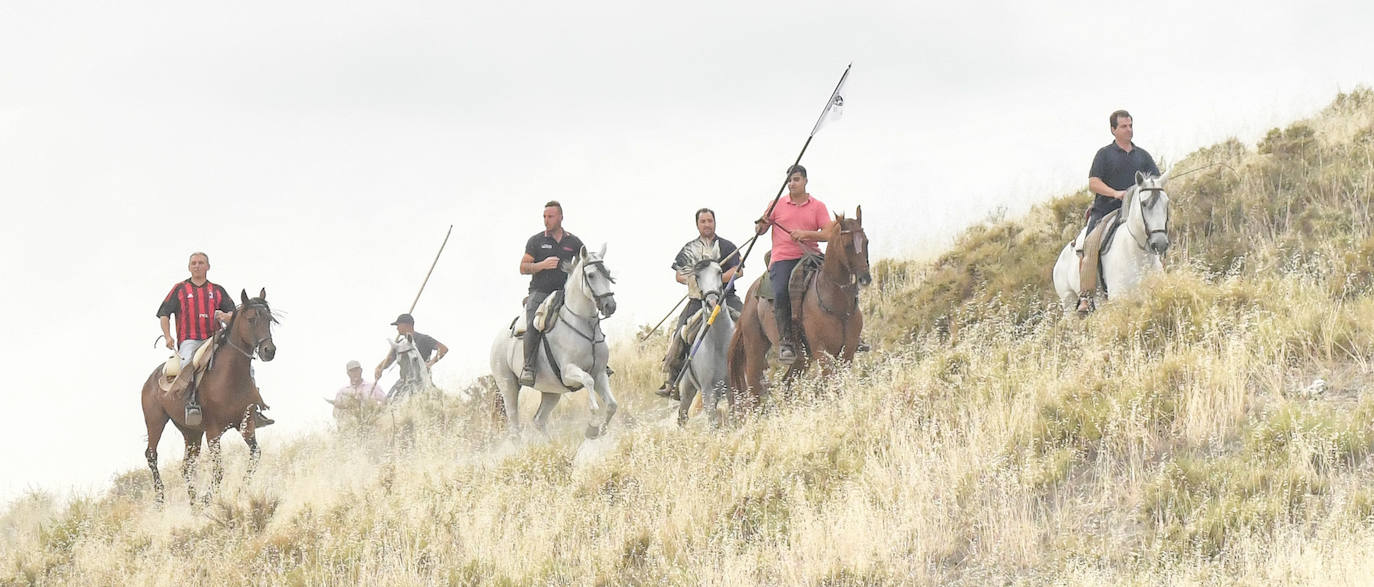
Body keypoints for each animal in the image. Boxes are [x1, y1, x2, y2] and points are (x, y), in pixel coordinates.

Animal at [140, 290, 277, 505]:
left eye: (269, 319)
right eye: (251, 319)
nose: (269, 351)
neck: (230, 377)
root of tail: (150, 380)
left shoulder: (246, 425)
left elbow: (255, 456)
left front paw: (239, 492)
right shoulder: (213, 433)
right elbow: (219, 470)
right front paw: (207, 499)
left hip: (191, 432)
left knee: (186, 467)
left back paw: (193, 504)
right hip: (155, 421)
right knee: (151, 454)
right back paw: (161, 499)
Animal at [489, 244, 618, 439]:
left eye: (608, 272)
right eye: (591, 275)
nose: (610, 306)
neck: (583, 324)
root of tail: (496, 340)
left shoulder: (600, 373)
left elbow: (611, 405)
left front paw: (598, 430)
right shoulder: (568, 372)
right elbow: (588, 383)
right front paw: (593, 424)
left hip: (551, 391)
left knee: (539, 420)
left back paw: (550, 443)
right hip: (508, 385)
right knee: (514, 425)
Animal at [673, 259, 736, 428]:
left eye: (720, 272)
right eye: (697, 276)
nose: (712, 302)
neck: (719, 344)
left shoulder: (732, 386)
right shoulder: (708, 392)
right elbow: (713, 423)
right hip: (687, 390)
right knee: (682, 416)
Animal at [730, 206, 868, 412]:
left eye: (866, 241)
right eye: (848, 244)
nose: (865, 278)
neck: (838, 304)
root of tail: (749, 300)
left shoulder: (848, 350)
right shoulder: (821, 351)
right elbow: (830, 379)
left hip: (801, 359)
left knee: (786, 382)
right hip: (755, 352)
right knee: (754, 391)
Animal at [1049, 169, 1170, 312]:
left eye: (1167, 203)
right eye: (1144, 203)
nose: (1160, 243)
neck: (1135, 253)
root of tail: (1058, 261)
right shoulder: (1120, 303)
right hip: (1069, 301)